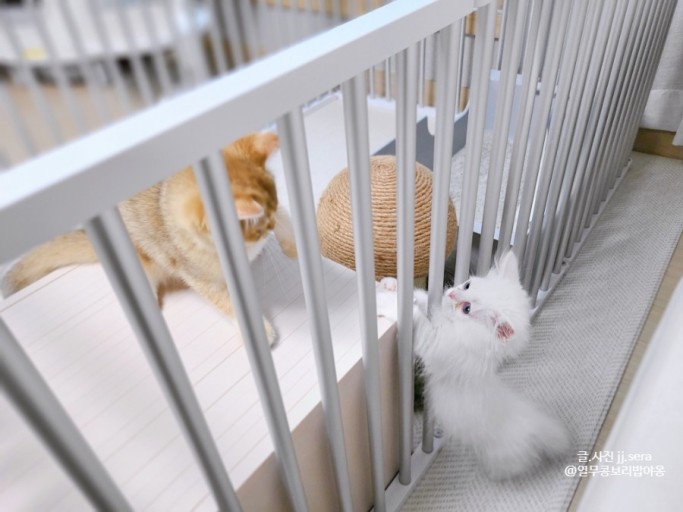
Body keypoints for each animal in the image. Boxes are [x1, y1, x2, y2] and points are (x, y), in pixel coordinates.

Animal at [2, 132, 296, 344]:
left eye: (267, 222)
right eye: (258, 228)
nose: (268, 228)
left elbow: (285, 217)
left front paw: (292, 245)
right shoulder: (200, 278)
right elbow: (229, 304)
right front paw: (261, 330)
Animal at [378, 252, 570, 479]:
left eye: (467, 309)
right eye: (467, 285)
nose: (451, 293)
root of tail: (535, 426)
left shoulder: (436, 342)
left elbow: (417, 318)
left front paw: (387, 303)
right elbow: (424, 300)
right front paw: (391, 285)